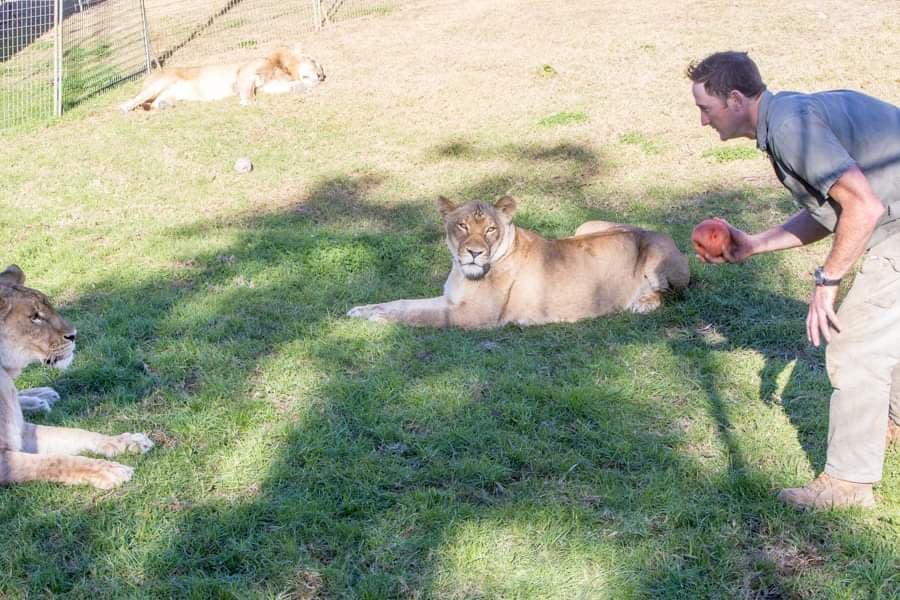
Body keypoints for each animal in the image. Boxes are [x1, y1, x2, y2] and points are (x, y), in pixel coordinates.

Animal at [0, 266, 153, 488]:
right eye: (34, 317)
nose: (73, 335)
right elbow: (54, 461)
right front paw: (108, 470)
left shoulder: (21, 431)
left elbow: (73, 433)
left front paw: (127, 441)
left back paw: (41, 398)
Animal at [118, 44, 326, 112]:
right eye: (313, 61)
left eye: (322, 70)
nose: (321, 76)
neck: (282, 68)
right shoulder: (245, 73)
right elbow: (249, 93)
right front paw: (247, 102)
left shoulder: (269, 85)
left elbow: (285, 87)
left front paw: (302, 87)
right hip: (158, 85)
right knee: (133, 100)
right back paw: (124, 108)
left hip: (169, 96)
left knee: (154, 103)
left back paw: (161, 106)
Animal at [348, 196, 692, 328]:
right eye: (462, 226)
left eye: (490, 229)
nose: (474, 253)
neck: (462, 272)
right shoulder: (451, 300)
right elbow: (404, 303)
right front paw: (362, 310)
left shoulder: (472, 316)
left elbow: (418, 316)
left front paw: (378, 319)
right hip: (585, 224)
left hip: (657, 255)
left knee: (673, 292)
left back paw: (643, 303)